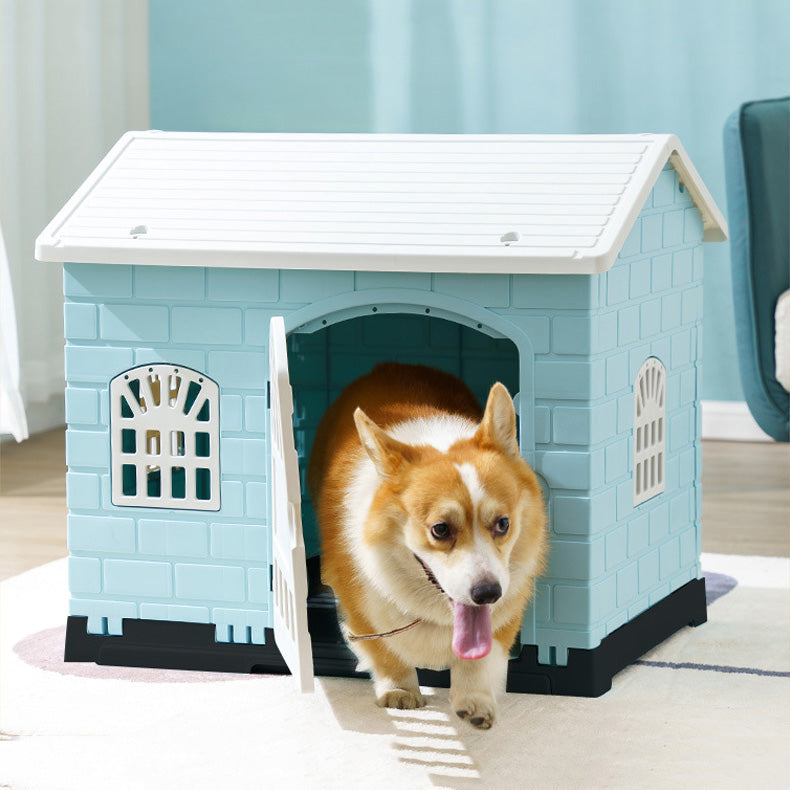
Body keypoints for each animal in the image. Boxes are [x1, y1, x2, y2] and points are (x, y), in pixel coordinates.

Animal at [306, 364, 548, 732]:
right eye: (440, 529)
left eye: (503, 523)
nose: (488, 593)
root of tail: (389, 366)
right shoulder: (358, 606)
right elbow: (385, 651)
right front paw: (400, 692)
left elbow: (480, 658)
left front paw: (474, 702)